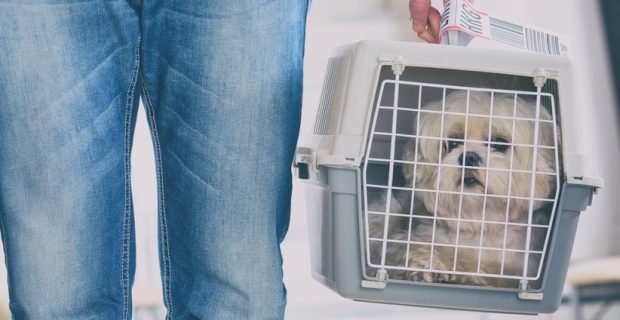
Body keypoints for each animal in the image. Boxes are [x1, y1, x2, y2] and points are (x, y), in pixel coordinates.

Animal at [366, 90, 560, 288]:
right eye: (452, 143)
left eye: (500, 143)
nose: (469, 157)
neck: (478, 222)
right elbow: (413, 247)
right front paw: (429, 264)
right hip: (389, 211)